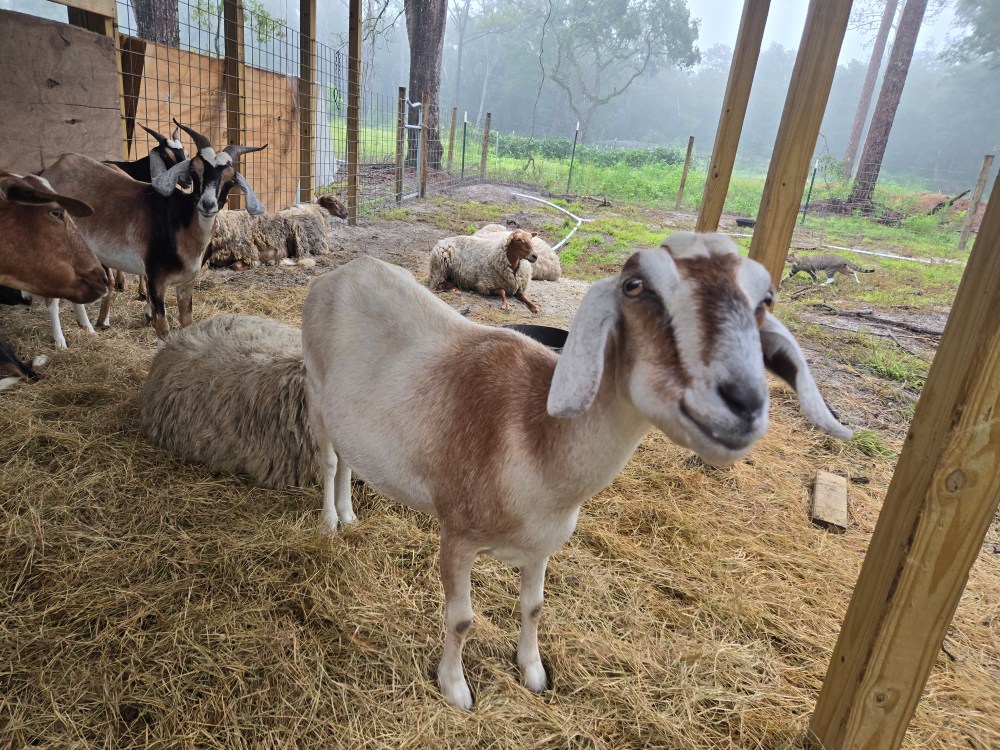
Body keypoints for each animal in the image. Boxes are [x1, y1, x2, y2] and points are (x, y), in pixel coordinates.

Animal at [38, 122, 266, 339]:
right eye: (195, 169)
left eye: (230, 178)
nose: (207, 204)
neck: (182, 225)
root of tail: (53, 170)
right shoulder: (156, 280)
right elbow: (163, 328)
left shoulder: (187, 283)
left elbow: (187, 322)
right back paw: (61, 342)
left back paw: (87, 328)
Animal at [301, 231, 852, 710]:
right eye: (637, 289)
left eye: (764, 302)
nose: (743, 403)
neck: (536, 441)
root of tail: (341, 272)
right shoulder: (456, 532)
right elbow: (460, 620)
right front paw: (456, 690)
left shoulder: (543, 544)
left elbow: (534, 607)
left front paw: (534, 673)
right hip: (315, 390)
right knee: (328, 458)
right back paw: (329, 523)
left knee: (348, 457)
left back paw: (350, 516)